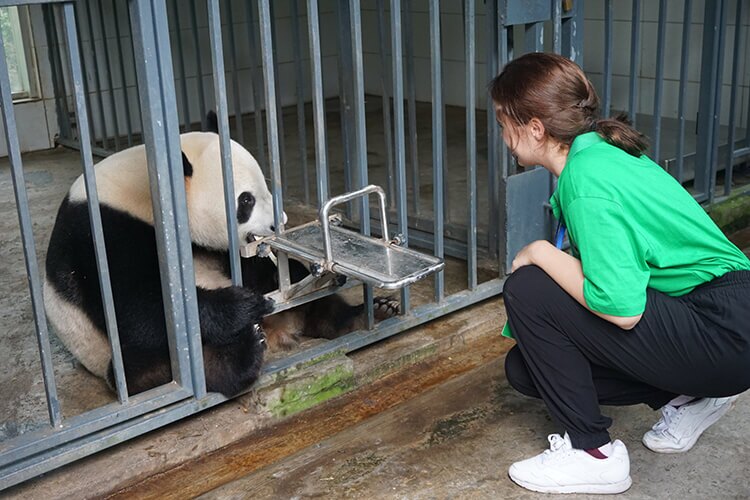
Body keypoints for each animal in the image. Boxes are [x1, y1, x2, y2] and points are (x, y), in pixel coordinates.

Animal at [43, 114, 399, 398]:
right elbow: (139, 307)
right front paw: (242, 305)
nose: (278, 223)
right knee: (175, 365)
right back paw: (245, 353)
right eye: (246, 201)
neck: (148, 187)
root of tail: (280, 329)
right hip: (113, 355)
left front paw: (292, 273)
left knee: (323, 309)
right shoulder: (104, 234)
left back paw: (371, 313)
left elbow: (248, 264)